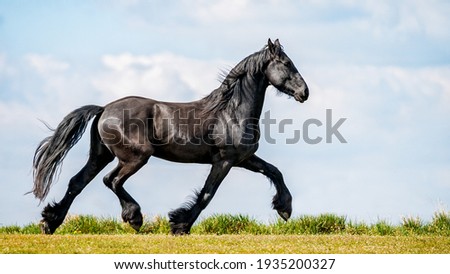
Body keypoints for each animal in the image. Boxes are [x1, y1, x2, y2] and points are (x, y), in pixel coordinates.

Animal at [30, 38, 306, 234]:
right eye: (287, 64)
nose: (305, 92)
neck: (231, 112)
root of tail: (104, 109)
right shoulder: (224, 161)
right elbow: (207, 194)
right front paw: (180, 225)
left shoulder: (244, 159)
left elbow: (275, 172)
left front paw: (285, 208)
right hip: (136, 157)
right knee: (112, 180)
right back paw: (134, 218)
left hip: (101, 155)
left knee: (77, 183)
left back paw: (49, 223)